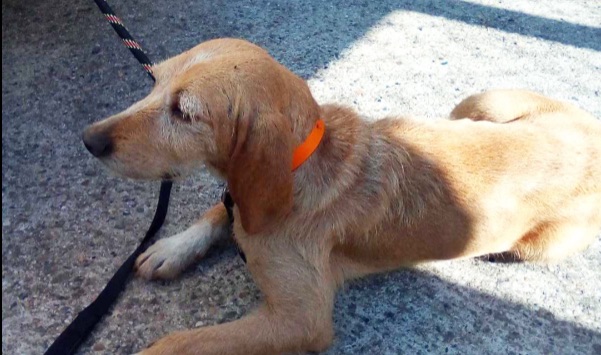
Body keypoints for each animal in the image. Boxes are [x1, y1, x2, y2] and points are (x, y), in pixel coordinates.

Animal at [81, 37, 600, 354]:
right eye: (155, 83)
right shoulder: (241, 200)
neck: (301, 165)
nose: (89, 140)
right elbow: (217, 211)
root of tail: (593, 133)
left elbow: (180, 343)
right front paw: (171, 248)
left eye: (184, 114)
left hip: (538, 240)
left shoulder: (301, 320)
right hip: (481, 101)